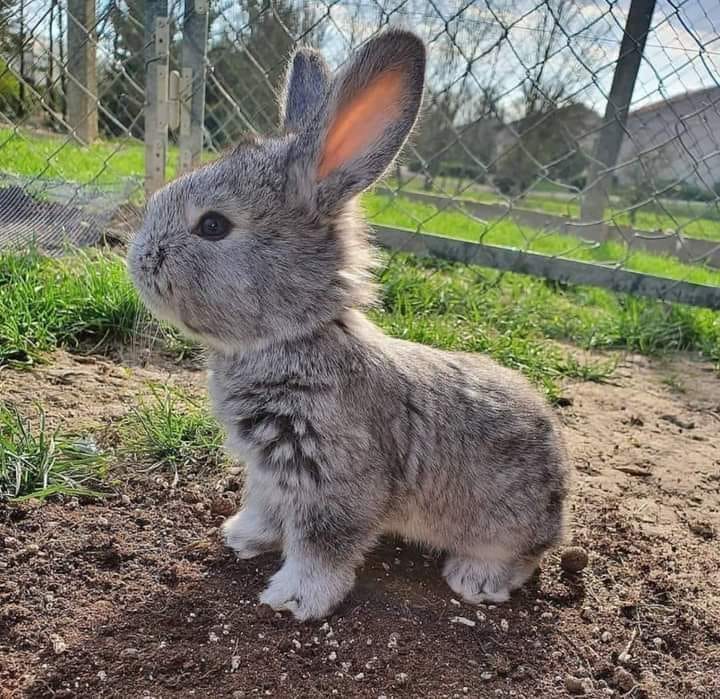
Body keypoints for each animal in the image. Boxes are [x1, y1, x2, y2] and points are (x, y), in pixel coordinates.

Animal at [128, 29, 570, 621]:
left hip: (505, 522)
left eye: (214, 226)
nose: (137, 261)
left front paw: (293, 599)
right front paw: (240, 537)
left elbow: (321, 546)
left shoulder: (333, 480)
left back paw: (474, 578)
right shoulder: (270, 475)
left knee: (521, 557)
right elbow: (265, 510)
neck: (295, 336)